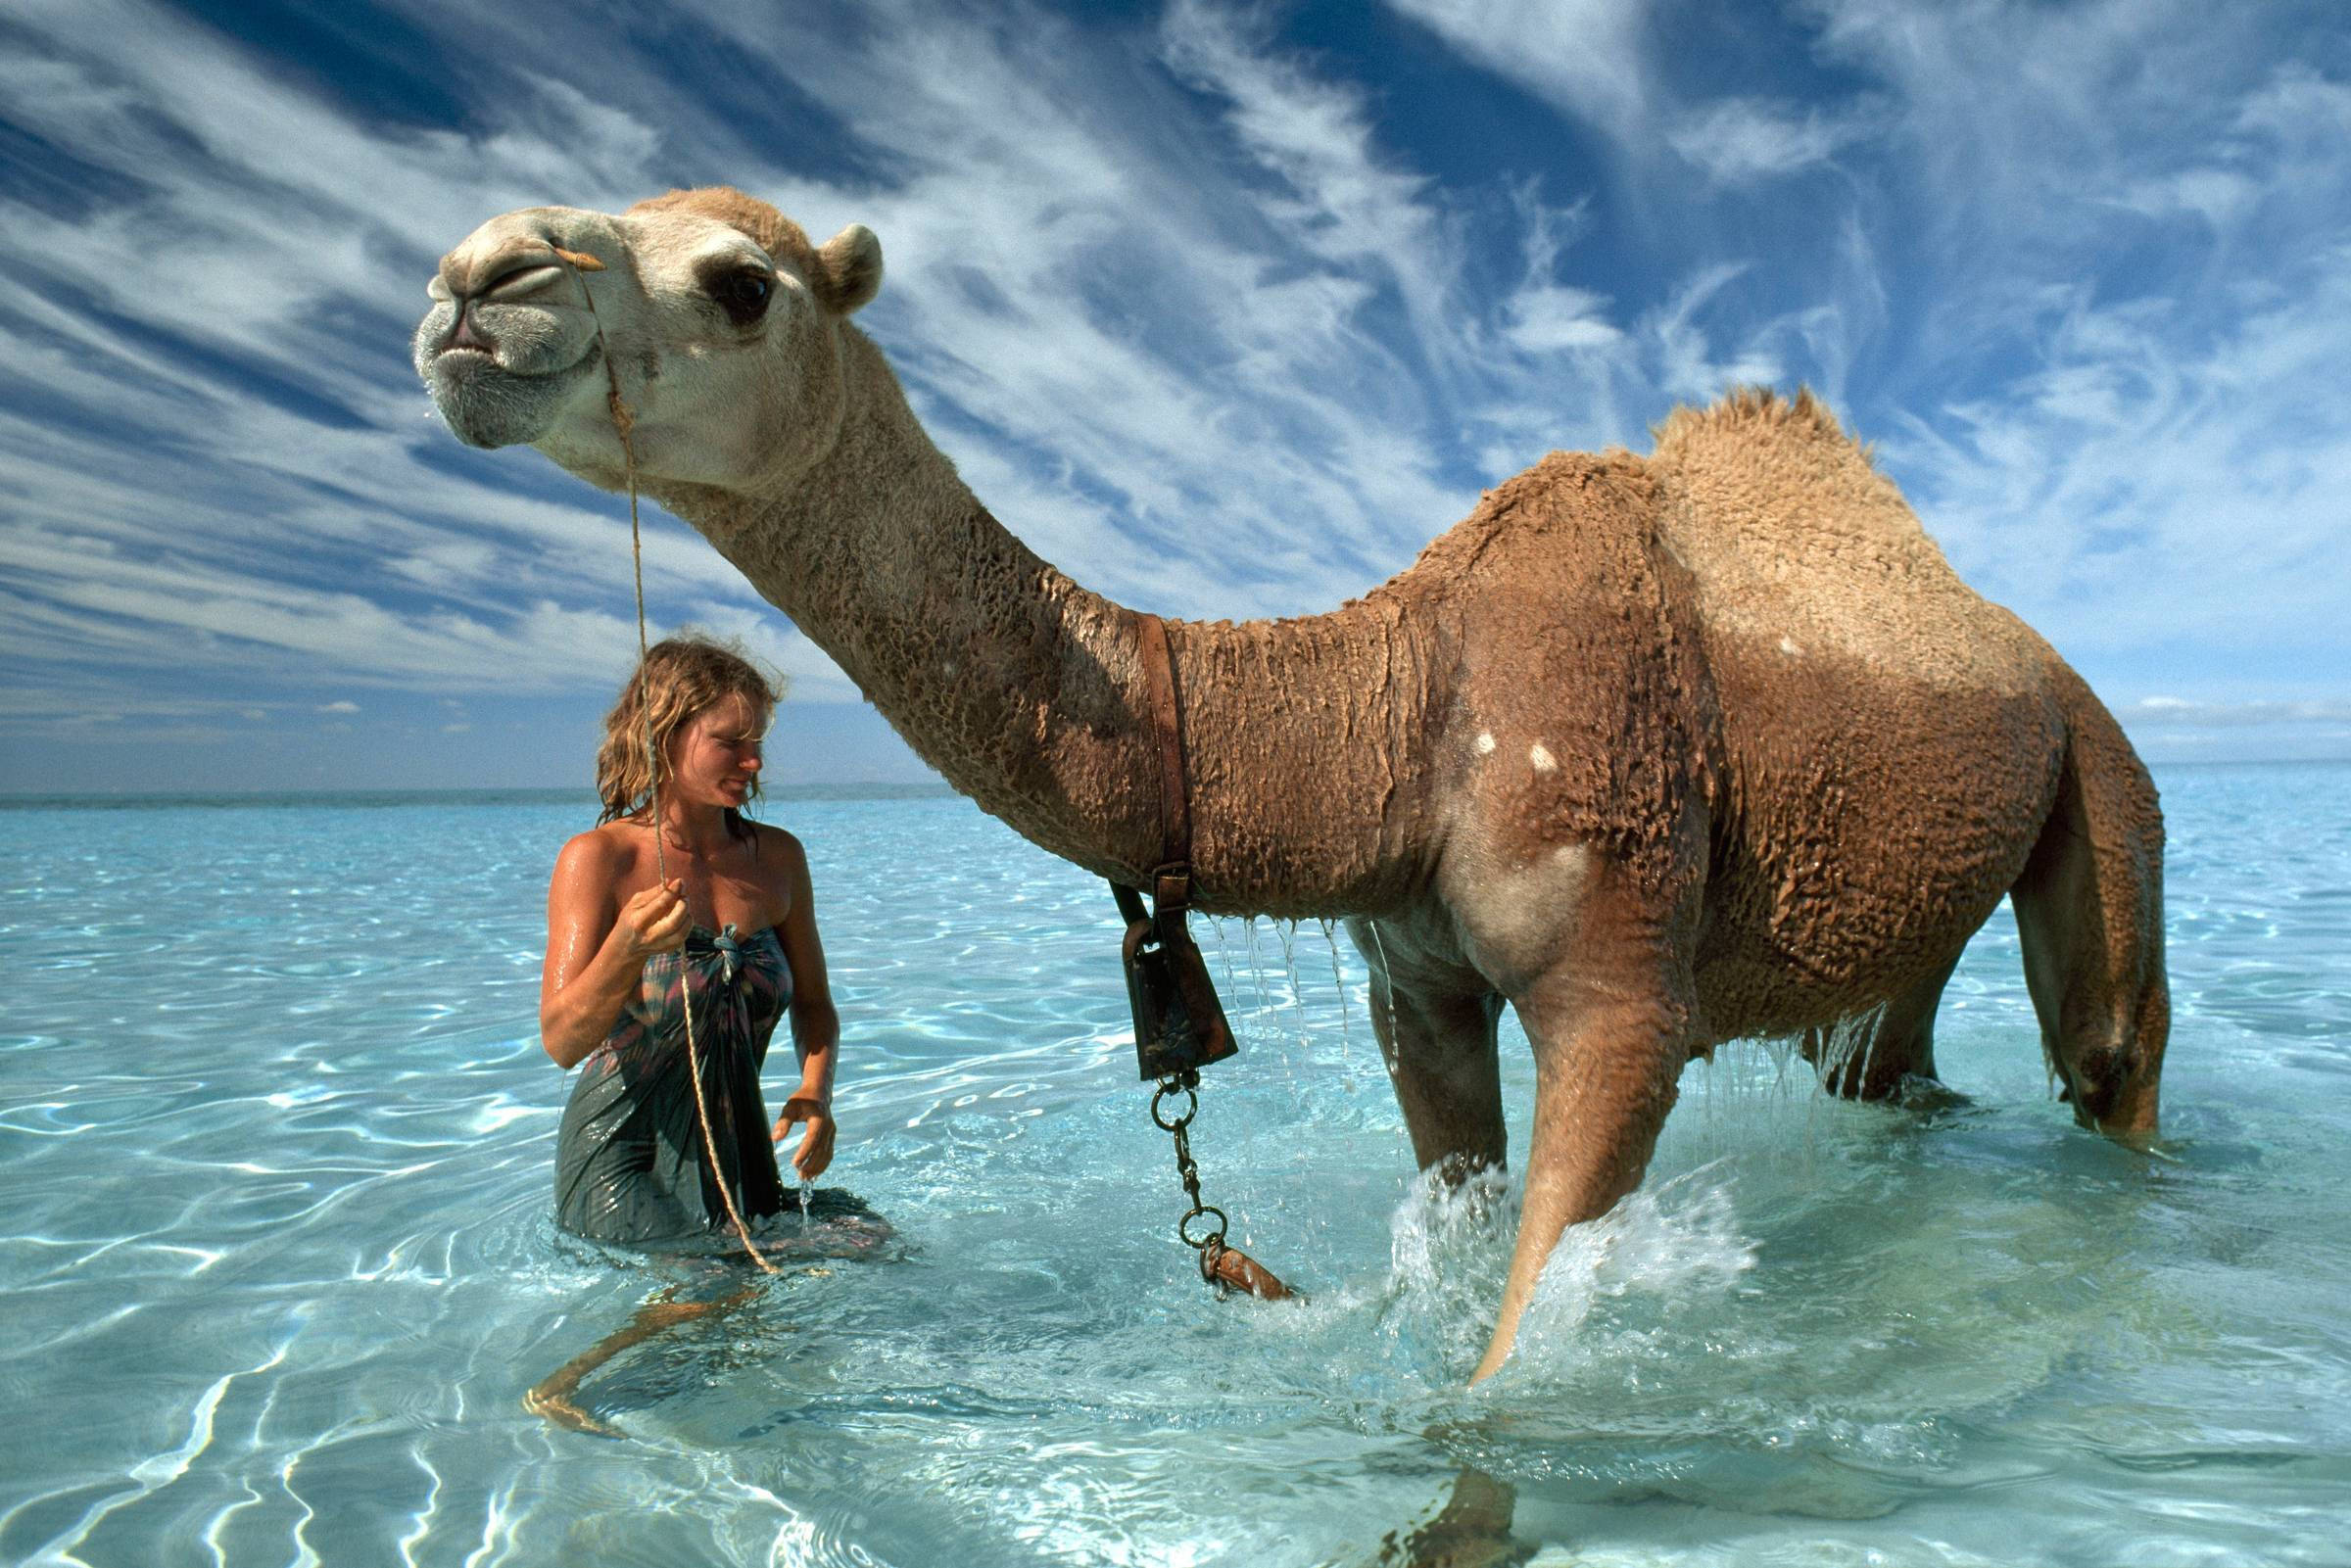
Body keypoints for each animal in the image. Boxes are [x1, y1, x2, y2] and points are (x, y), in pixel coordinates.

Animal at [415, 187, 2169, 1381]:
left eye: (739, 283)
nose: (472, 281)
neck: (1398, 704)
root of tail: (2013, 637)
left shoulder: (1617, 969)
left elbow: (1516, 1347)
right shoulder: (1415, 977)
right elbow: (1458, 1205)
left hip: (2101, 763)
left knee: (2107, 1042)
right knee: (1882, 1056)